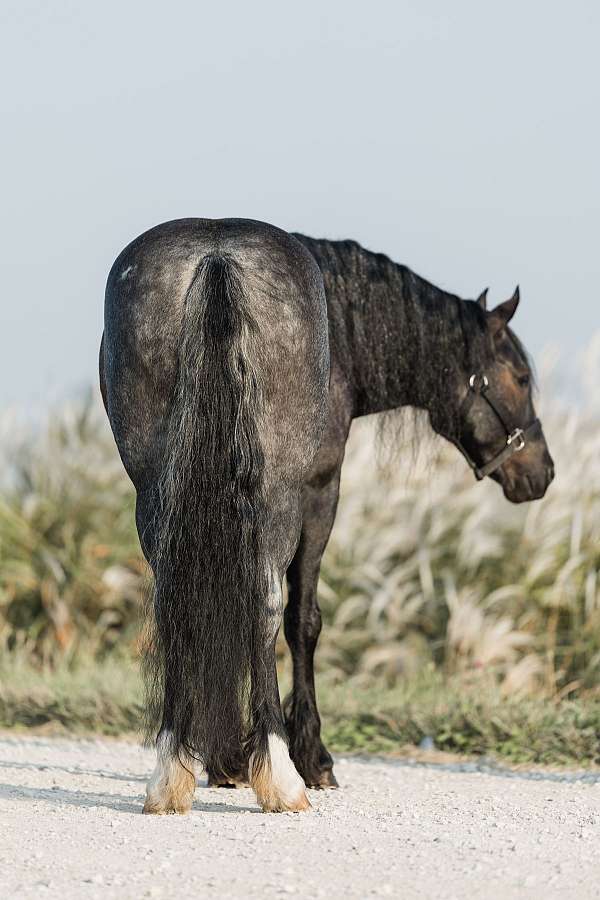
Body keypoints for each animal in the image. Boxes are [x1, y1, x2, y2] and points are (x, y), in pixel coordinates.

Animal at [100, 218, 554, 813]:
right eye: (520, 377)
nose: (542, 472)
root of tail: (216, 257)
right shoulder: (321, 491)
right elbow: (303, 621)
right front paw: (311, 758)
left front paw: (225, 763)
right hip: (275, 497)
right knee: (265, 605)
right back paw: (281, 778)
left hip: (158, 488)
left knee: (179, 600)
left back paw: (172, 771)